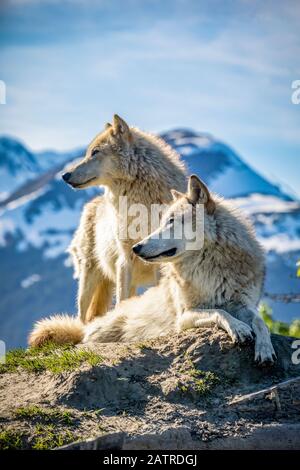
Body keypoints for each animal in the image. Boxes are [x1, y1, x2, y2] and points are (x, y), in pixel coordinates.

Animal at [29, 173, 276, 364]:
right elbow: (219, 312)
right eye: (162, 221)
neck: (210, 267)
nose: (136, 247)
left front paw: (265, 349)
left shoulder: (244, 304)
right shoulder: (184, 316)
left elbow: (260, 321)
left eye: (172, 221)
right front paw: (239, 329)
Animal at [62, 115, 185, 324]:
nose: (64, 175)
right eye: (88, 152)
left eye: (95, 152)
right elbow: (121, 301)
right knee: (83, 316)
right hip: (88, 279)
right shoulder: (125, 259)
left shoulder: (158, 263)